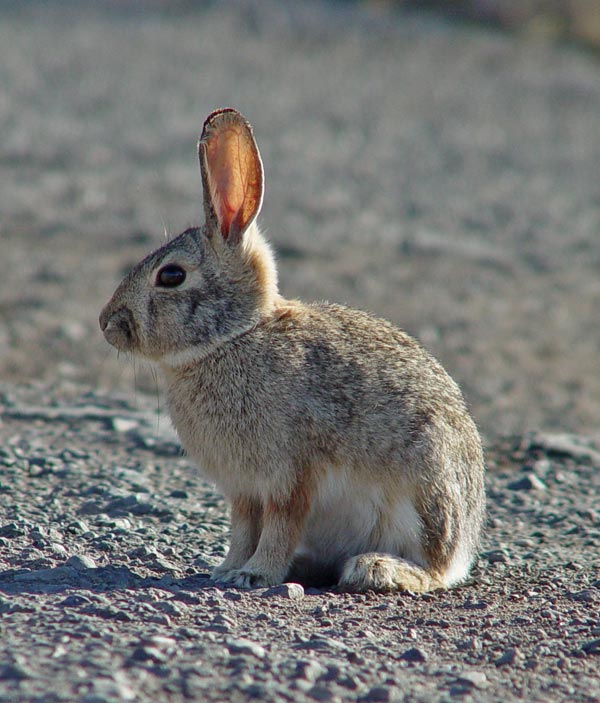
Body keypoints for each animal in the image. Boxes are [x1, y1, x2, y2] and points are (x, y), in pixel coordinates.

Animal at [100, 107, 485, 593]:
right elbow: (243, 528)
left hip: (423, 492)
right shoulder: (244, 490)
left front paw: (255, 574)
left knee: (432, 570)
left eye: (171, 276)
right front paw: (226, 569)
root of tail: (464, 550)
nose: (106, 324)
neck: (234, 338)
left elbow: (280, 525)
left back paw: (377, 568)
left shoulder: (290, 476)